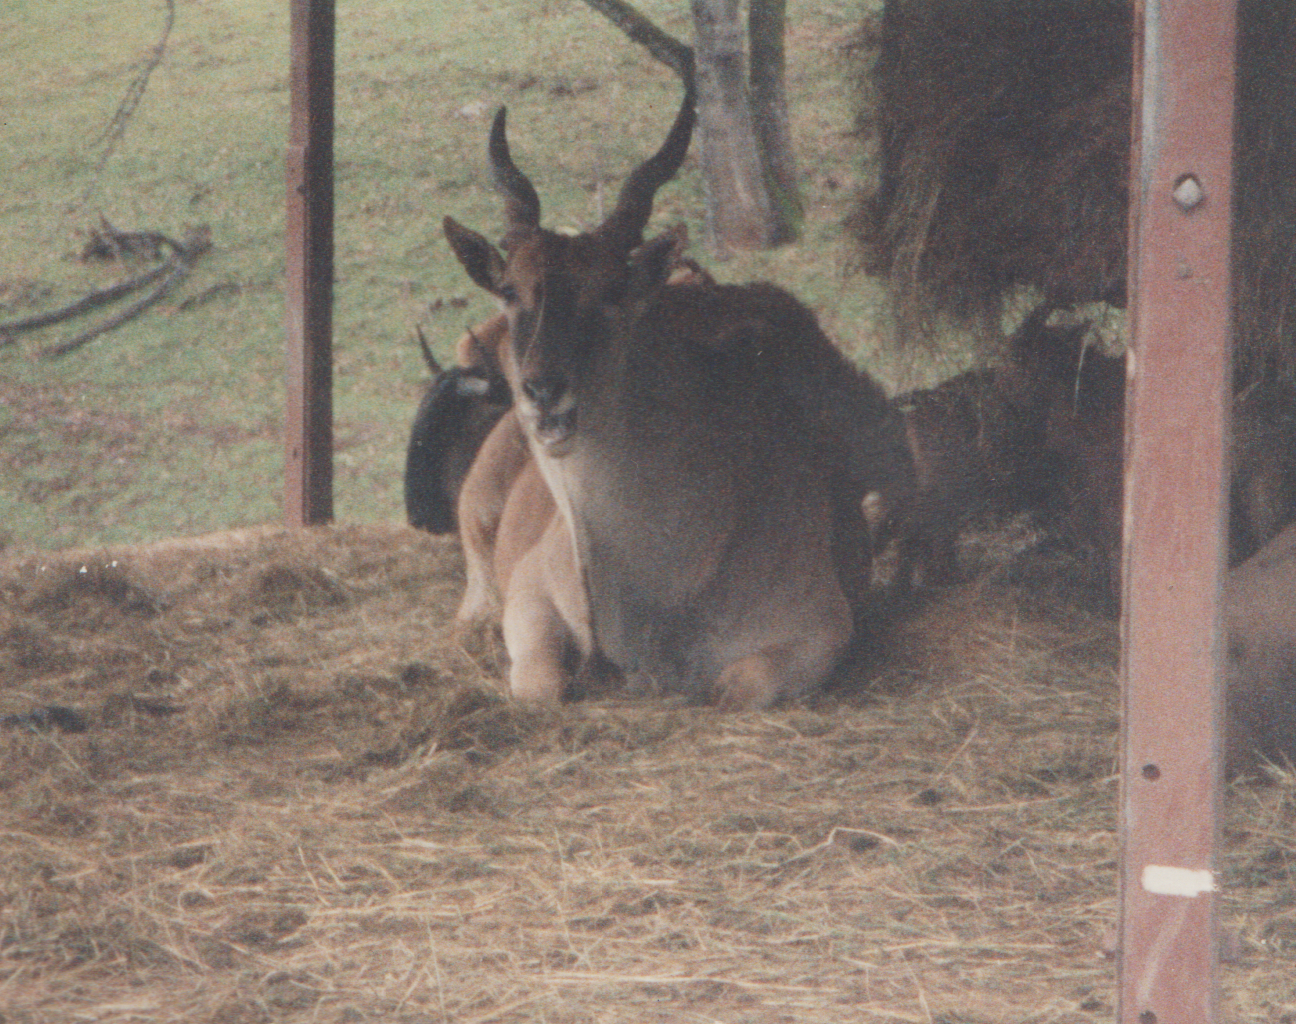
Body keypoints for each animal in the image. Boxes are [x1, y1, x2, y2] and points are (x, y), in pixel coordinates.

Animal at [440, 84, 917, 710]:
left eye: (611, 292)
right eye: (510, 290)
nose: (543, 392)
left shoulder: (820, 630)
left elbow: (734, 686)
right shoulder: (528, 597)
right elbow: (543, 686)